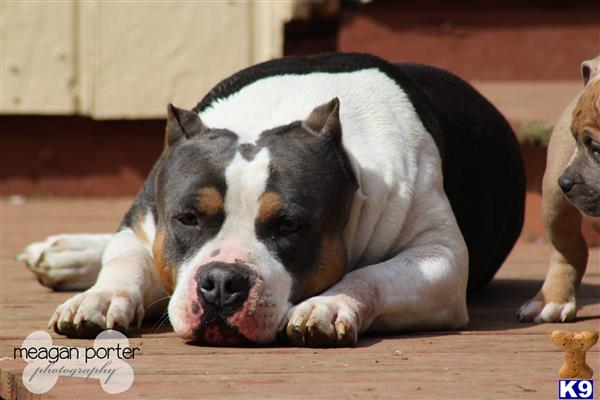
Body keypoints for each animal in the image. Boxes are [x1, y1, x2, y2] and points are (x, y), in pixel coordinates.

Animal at [17, 53, 524, 346]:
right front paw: (100, 298)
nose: (221, 283)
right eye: (187, 218)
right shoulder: (144, 222)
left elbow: (374, 276)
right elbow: (126, 261)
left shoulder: (439, 259)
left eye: (289, 226)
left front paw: (329, 303)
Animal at [516, 54, 600, 324]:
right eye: (577, 140)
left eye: (597, 149)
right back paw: (552, 301)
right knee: (568, 248)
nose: (566, 182)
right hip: (554, 203)